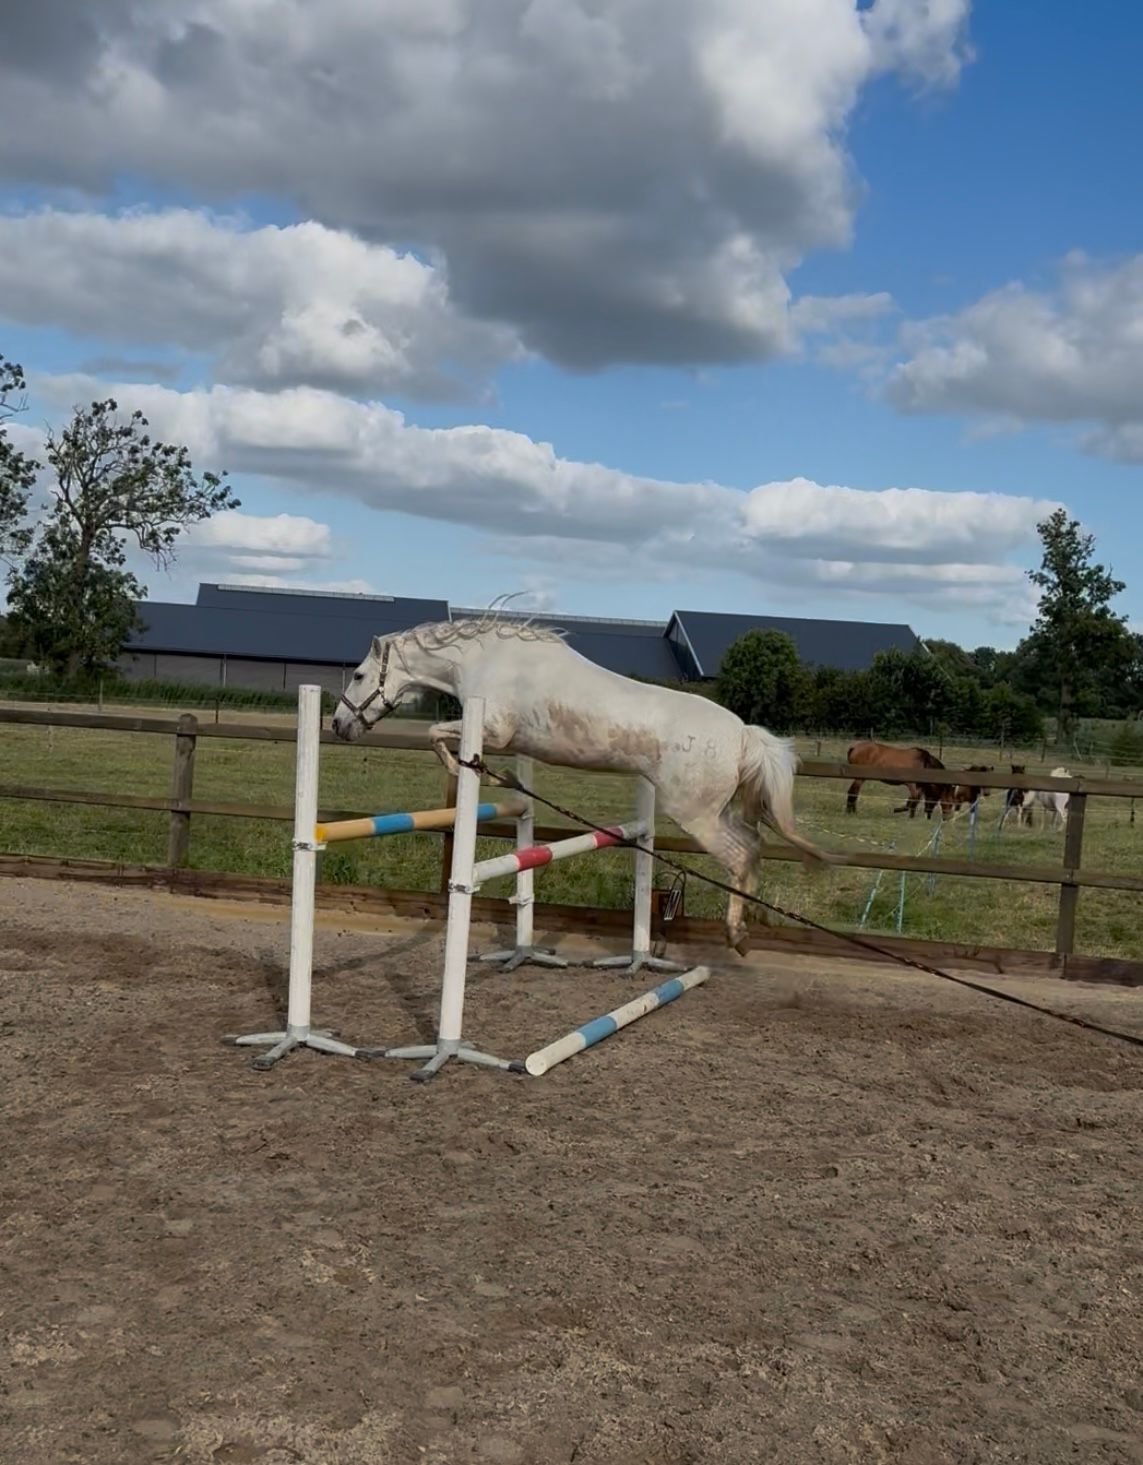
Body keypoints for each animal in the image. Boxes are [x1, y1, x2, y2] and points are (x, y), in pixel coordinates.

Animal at [330, 615, 837, 952]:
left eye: (359, 675)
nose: (338, 726)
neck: (486, 658)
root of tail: (743, 733)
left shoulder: (493, 730)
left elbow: (437, 733)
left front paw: (461, 768)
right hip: (719, 812)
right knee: (755, 848)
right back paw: (751, 922)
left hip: (697, 816)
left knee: (741, 856)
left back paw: (738, 934)